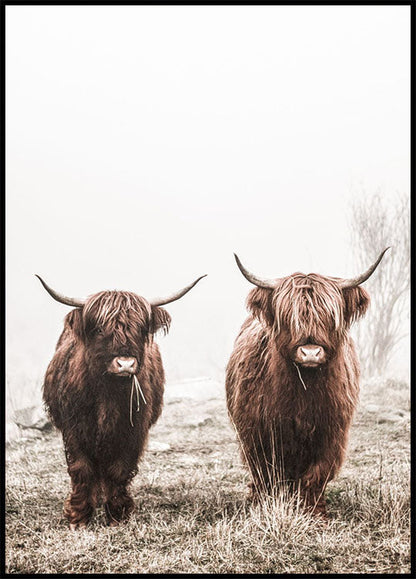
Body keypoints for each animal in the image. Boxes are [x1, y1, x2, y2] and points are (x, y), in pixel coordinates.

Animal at [37, 276, 205, 532]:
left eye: (140, 329)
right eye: (99, 329)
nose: (125, 363)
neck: (108, 394)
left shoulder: (133, 430)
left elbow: (119, 470)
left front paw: (118, 515)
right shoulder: (74, 429)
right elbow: (81, 468)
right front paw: (79, 517)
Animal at [226, 249, 388, 516]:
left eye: (330, 317)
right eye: (288, 318)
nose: (310, 353)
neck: (304, 392)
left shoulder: (332, 433)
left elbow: (316, 475)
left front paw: (314, 512)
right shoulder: (257, 432)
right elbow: (267, 474)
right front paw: (265, 505)